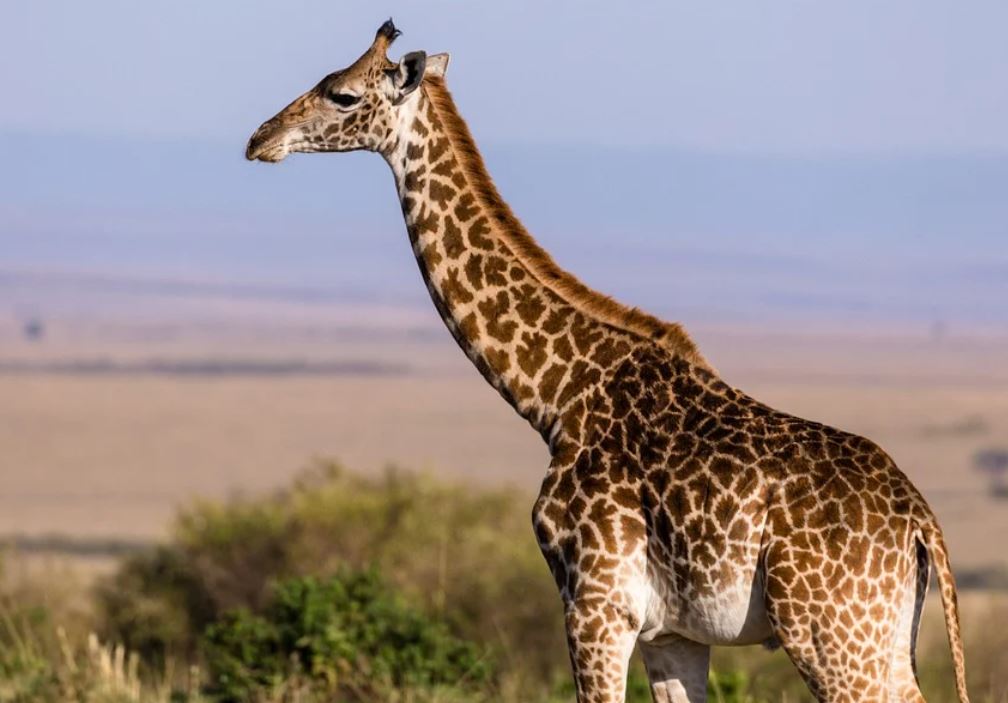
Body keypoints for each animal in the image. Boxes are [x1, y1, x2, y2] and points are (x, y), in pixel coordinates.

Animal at [245, 20, 969, 703]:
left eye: (342, 93)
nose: (259, 138)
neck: (555, 396)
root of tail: (921, 524)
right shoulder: (670, 632)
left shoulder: (596, 604)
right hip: (881, 635)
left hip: (831, 633)